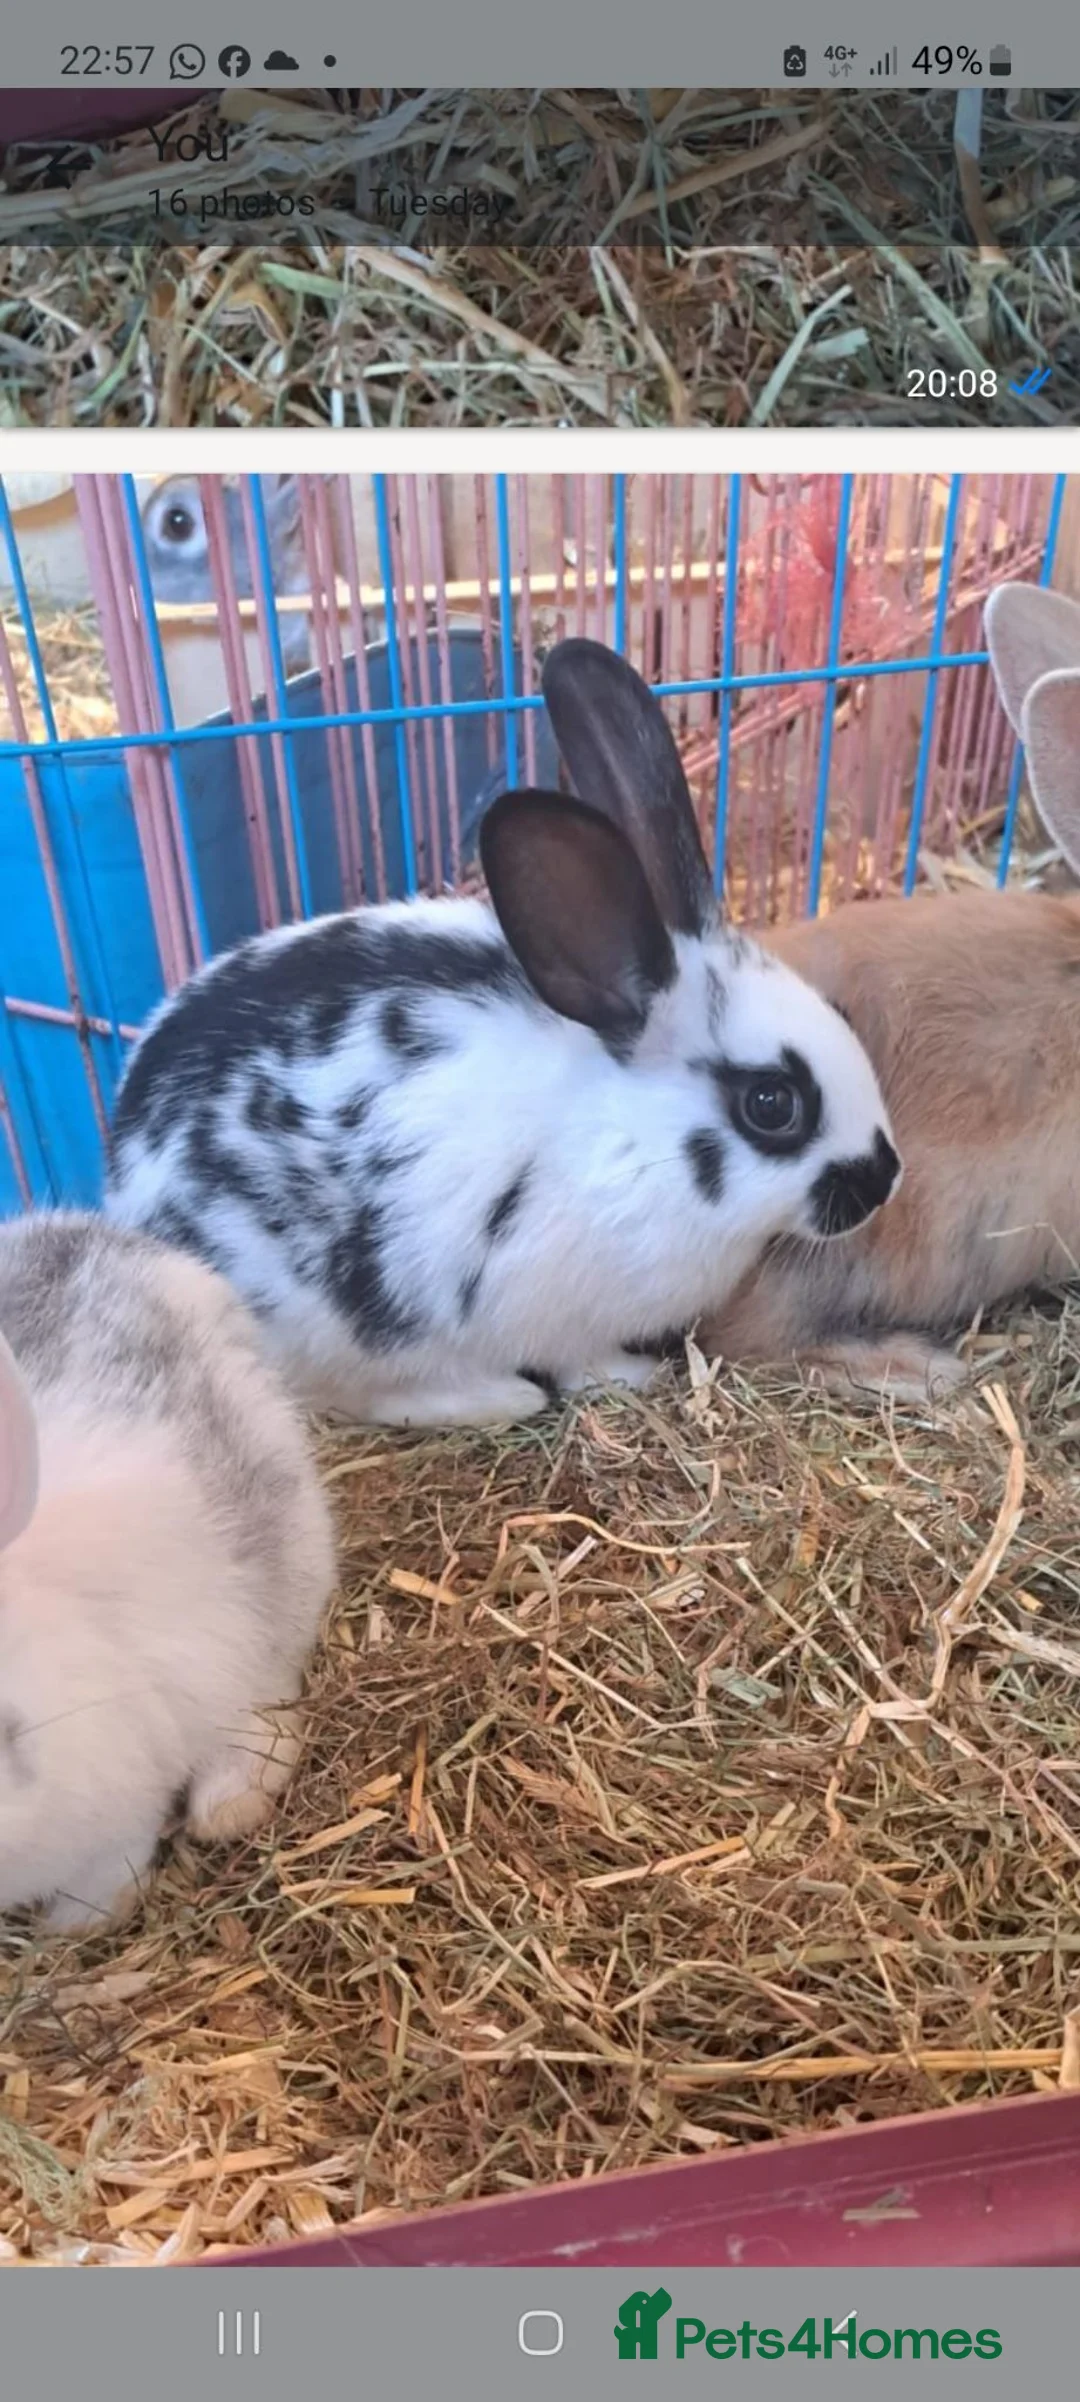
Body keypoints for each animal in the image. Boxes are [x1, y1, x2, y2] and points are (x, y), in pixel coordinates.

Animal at [0, 1211, 335, 1933]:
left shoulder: (115, 1804)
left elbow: (107, 1873)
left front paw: (76, 1928)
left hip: (281, 1549)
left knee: (266, 1696)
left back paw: (229, 1804)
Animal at [103, 639, 900, 1433]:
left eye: (841, 1014)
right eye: (772, 1104)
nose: (884, 1177)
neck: (629, 1139)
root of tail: (122, 1184)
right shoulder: (563, 1313)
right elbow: (584, 1363)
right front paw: (633, 1376)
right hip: (331, 1326)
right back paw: (499, 1396)